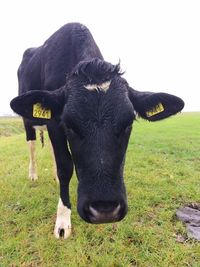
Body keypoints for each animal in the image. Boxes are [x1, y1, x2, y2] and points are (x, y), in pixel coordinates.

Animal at [9, 23, 184, 240]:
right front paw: (62, 221)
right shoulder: (55, 123)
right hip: (27, 121)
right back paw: (33, 174)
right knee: (32, 145)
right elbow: (65, 166)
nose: (104, 209)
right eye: (69, 124)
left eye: (128, 123)